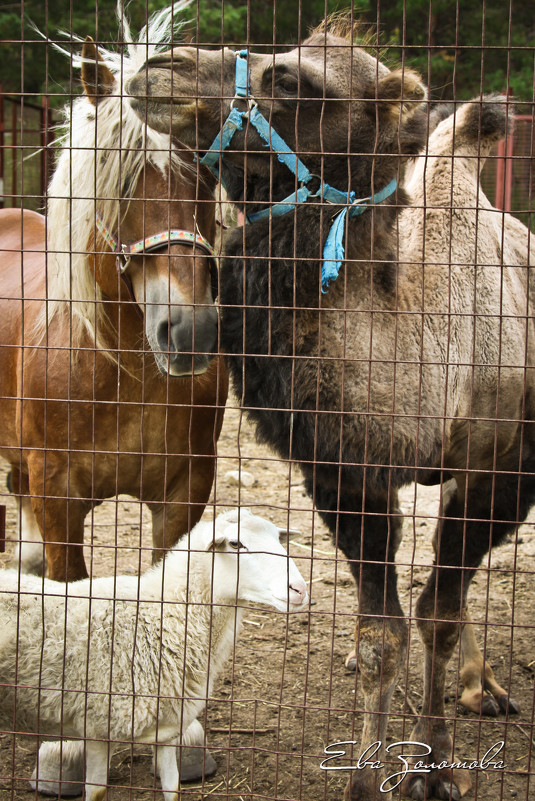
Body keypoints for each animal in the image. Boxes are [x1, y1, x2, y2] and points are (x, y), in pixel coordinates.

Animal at [0, 21, 228, 580]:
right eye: (118, 181)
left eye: (207, 176)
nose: (190, 331)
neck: (125, 372)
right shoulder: (57, 498)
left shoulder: (184, 494)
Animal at [0, 510, 310, 796]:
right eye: (235, 544)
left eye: (278, 538)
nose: (299, 589)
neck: (162, 615)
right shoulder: (98, 728)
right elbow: (97, 791)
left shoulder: (168, 727)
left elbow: (172, 788)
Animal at [129, 15, 535, 796]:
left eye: (292, 80)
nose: (158, 68)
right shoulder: (346, 473)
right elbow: (381, 635)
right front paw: (367, 775)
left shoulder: (499, 470)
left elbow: (437, 617)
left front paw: (435, 764)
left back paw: (482, 686)